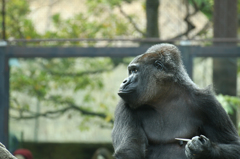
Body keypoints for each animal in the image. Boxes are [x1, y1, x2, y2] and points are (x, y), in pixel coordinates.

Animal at [111, 42, 240, 158]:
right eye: (131, 71)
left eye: (135, 71)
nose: (125, 81)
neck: (164, 97)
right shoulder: (124, 104)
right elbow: (128, 151)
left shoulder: (208, 103)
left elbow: (234, 145)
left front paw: (204, 150)